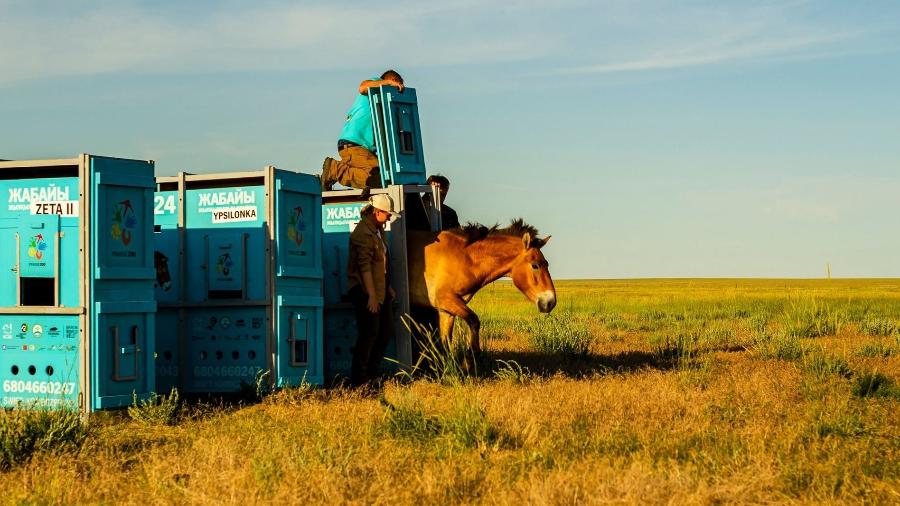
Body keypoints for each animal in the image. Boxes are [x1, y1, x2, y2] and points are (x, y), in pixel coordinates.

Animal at [408, 219, 556, 370]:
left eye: (547, 264)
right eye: (535, 265)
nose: (550, 302)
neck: (463, 257)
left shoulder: (446, 311)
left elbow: (445, 343)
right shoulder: (446, 299)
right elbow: (474, 321)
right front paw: (468, 360)